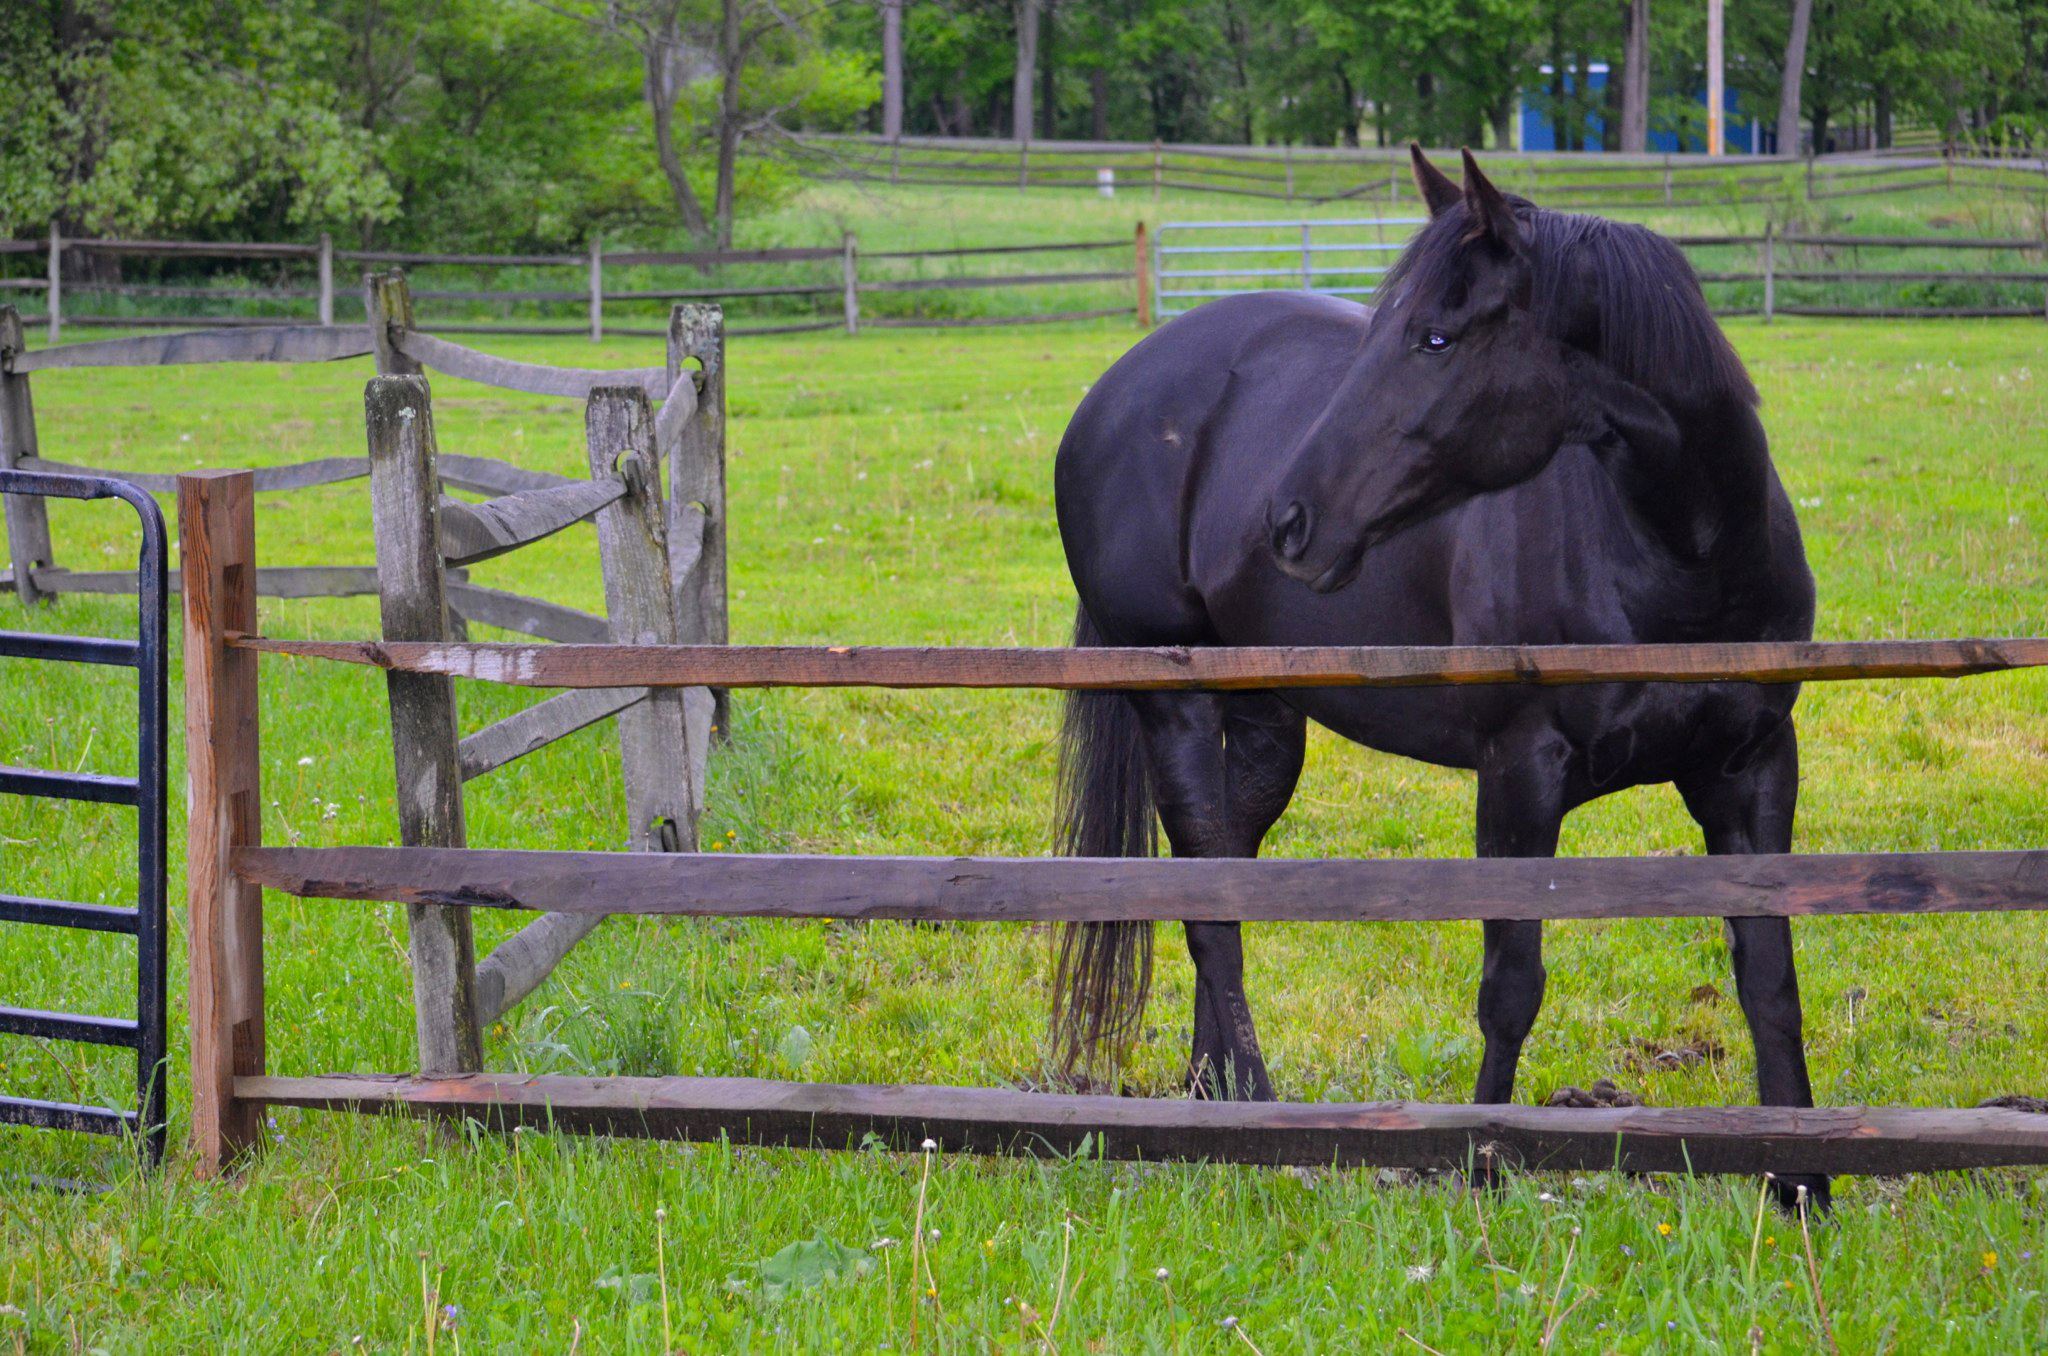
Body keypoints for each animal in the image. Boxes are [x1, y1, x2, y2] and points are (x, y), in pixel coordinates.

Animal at [1056, 148, 1826, 1212]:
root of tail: (1112, 392)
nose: (1286, 522)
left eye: (1435, 337)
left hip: (1265, 725)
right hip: (1171, 705)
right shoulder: (1520, 772)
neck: (1680, 557)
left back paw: (1214, 1096)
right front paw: (1484, 1158)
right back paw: (1256, 1111)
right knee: (1212, 913)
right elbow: (1511, 983)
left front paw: (1802, 1180)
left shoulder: (1751, 769)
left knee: (1220, 870)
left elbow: (1769, 976)